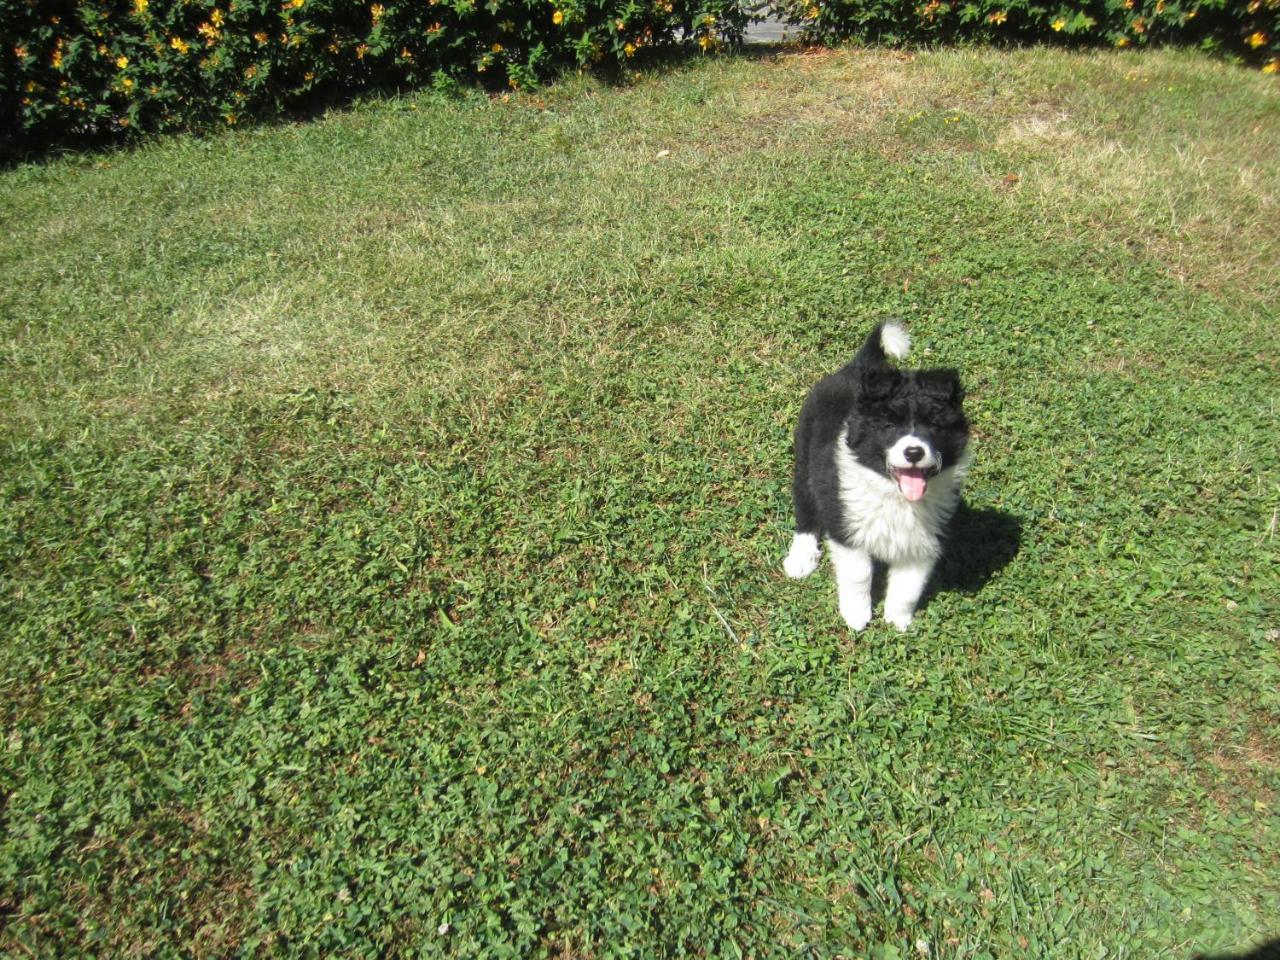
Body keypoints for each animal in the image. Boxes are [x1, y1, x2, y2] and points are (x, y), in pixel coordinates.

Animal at [778, 323, 967, 634]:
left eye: (933, 426)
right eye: (889, 426)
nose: (913, 452)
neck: (894, 495)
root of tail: (857, 366)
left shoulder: (924, 541)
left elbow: (908, 587)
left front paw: (897, 621)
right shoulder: (846, 526)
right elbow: (859, 575)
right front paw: (856, 616)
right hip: (806, 460)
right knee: (805, 508)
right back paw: (801, 558)